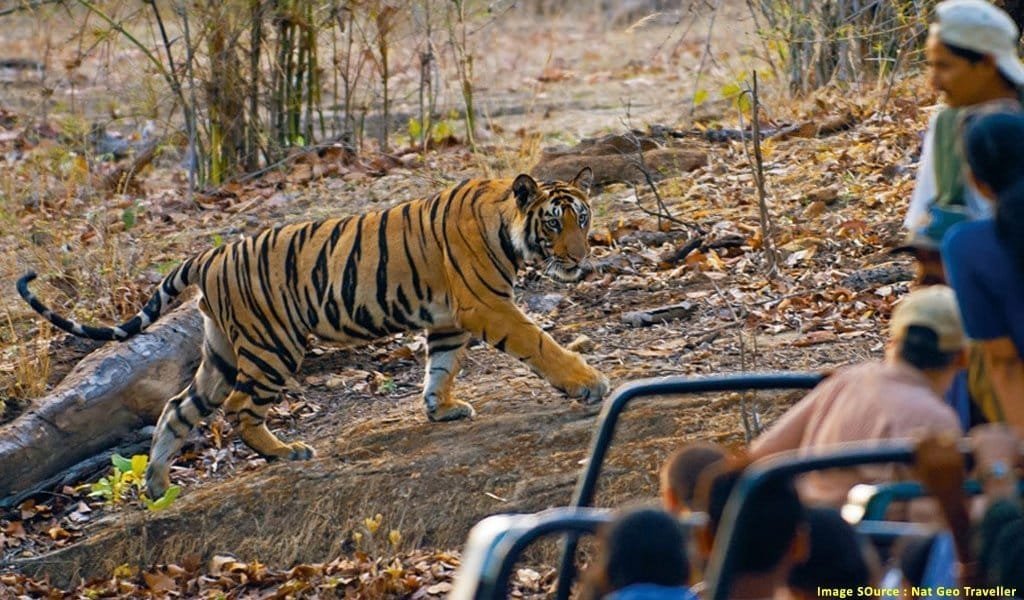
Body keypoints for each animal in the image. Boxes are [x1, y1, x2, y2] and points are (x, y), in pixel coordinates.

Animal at [17, 167, 609, 499]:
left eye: (583, 217)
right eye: (554, 223)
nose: (582, 259)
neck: (507, 227)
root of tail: (212, 254)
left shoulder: (445, 320)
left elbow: (441, 367)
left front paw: (440, 409)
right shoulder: (487, 306)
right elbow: (539, 343)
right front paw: (588, 383)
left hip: (221, 352)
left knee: (178, 409)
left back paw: (159, 486)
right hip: (272, 346)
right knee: (238, 409)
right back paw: (285, 453)